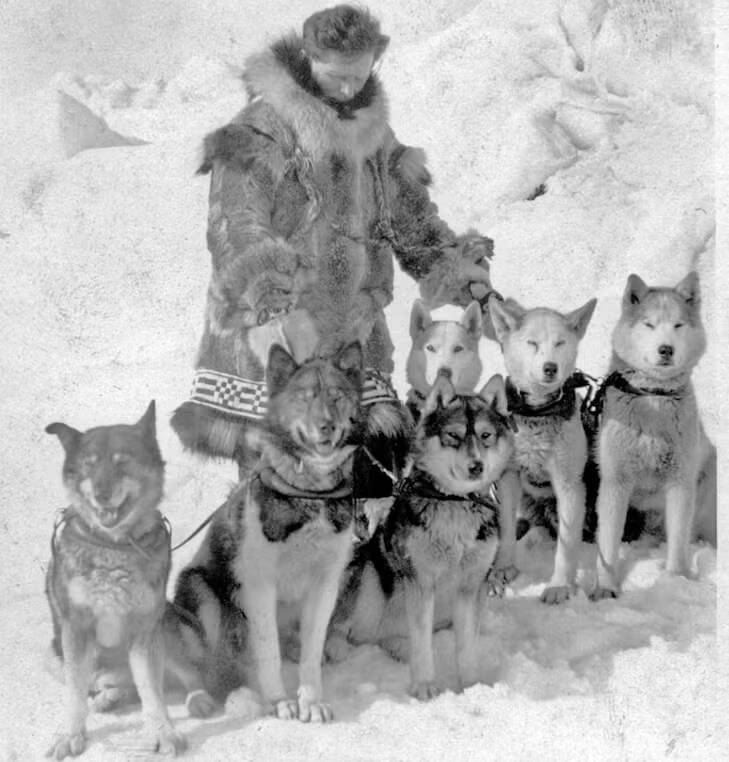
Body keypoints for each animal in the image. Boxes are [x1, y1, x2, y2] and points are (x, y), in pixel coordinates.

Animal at [44, 400, 188, 756]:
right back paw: (105, 697)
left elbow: (151, 690)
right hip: (54, 652)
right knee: (90, 685)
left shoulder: (146, 631)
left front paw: (162, 730)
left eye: (123, 463)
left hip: (168, 631)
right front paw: (70, 734)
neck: (114, 545)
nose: (102, 493)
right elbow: (74, 694)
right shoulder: (76, 629)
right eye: (89, 466)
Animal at [171, 342, 364, 720]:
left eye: (337, 396)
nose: (327, 426)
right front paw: (279, 701)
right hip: (202, 593)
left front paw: (311, 701)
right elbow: (268, 651)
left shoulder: (325, 584)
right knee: (202, 664)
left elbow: (311, 656)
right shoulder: (260, 586)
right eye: (304, 397)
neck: (310, 494)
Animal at [328, 372, 516, 696]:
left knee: (385, 639)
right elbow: (422, 643)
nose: (476, 466)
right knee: (341, 626)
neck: (455, 502)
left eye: (486, 435)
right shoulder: (420, 582)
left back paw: (398, 648)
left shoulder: (470, 586)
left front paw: (470, 685)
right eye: (453, 435)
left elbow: (466, 647)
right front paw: (425, 685)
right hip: (369, 576)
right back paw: (335, 647)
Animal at [490, 294, 596, 604]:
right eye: (532, 343)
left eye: (560, 343)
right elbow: (506, 528)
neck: (537, 412)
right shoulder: (508, 478)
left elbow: (566, 545)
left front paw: (559, 585)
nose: (551, 368)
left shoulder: (569, 485)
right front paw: (503, 569)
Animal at [588, 274, 712, 600]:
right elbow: (608, 544)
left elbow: (679, 542)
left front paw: (676, 581)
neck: (653, 397)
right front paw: (606, 588)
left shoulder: (680, 482)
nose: (666, 349)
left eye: (678, 325)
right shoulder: (615, 483)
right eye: (649, 324)